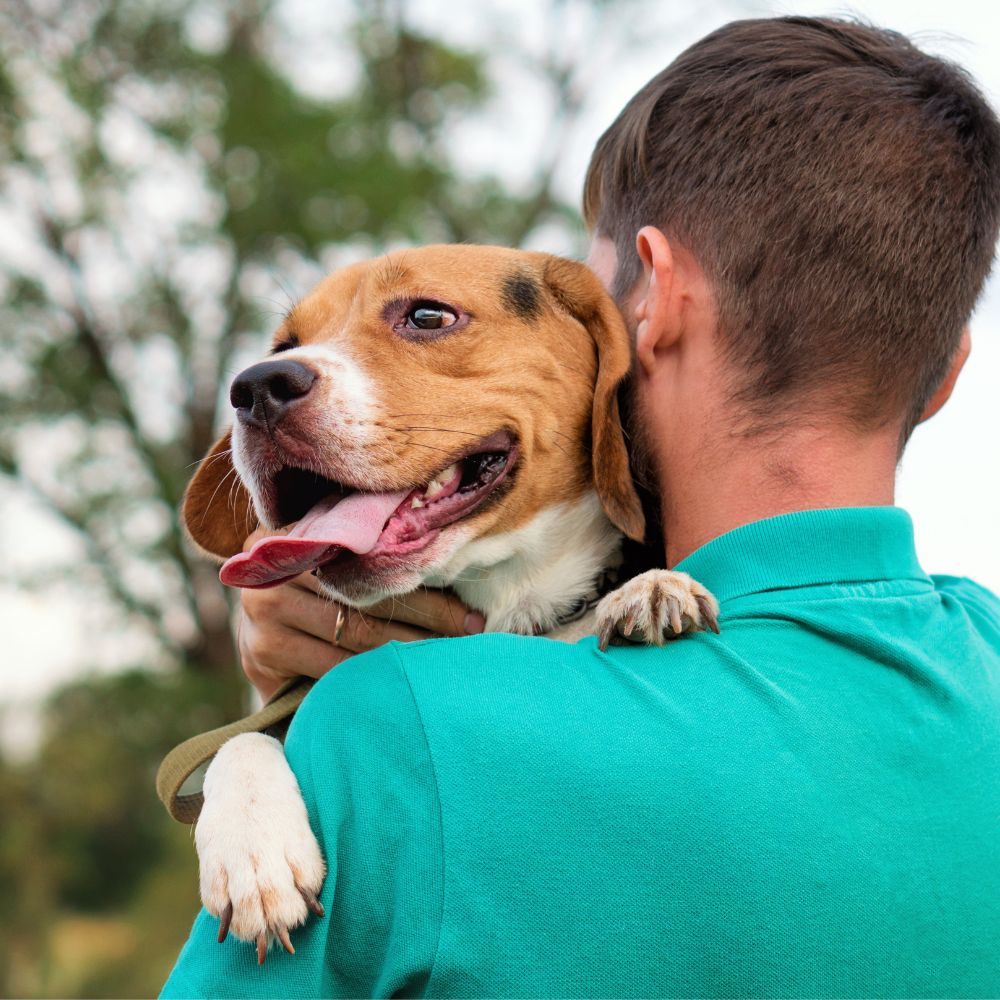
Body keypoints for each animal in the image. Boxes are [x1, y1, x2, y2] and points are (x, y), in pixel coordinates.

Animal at [180, 242, 716, 960]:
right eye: (284, 345)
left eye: (427, 316)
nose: (255, 388)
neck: (509, 605)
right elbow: (241, 739)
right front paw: (251, 848)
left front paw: (652, 587)